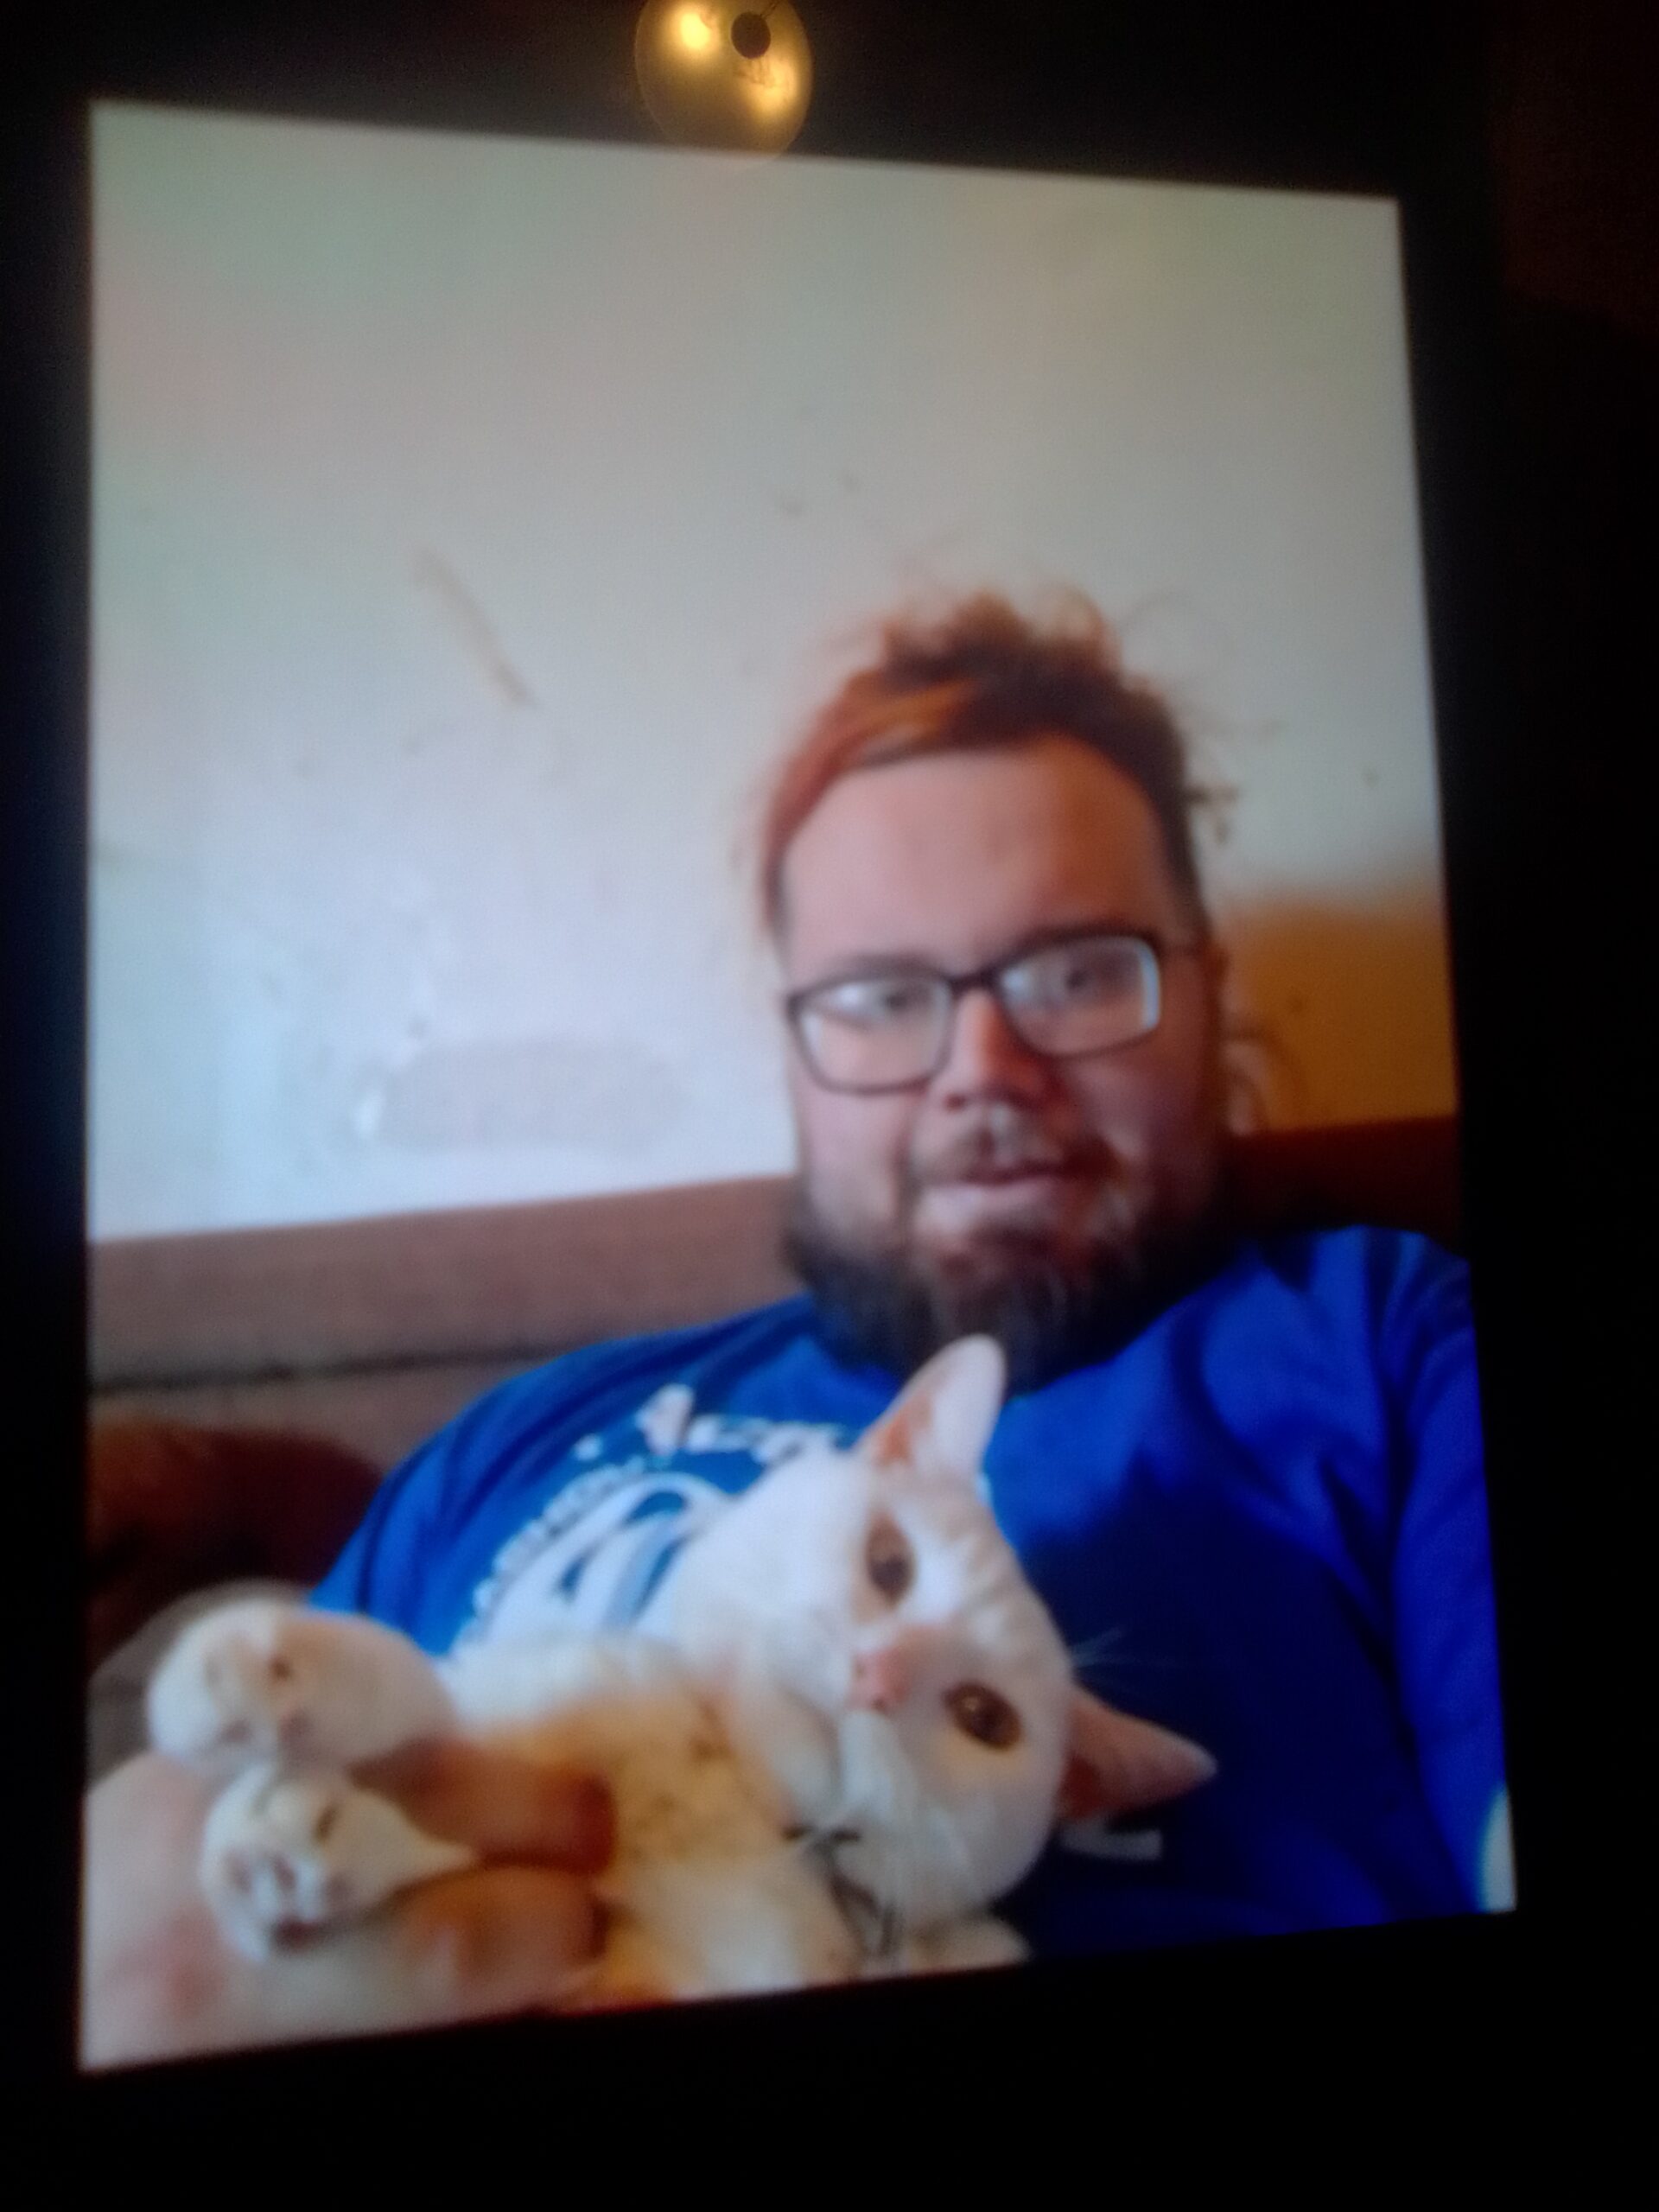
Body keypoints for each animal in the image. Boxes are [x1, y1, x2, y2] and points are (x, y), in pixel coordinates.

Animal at [146, 1336, 1217, 2004]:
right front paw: (266, 1678)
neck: (725, 1801)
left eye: (985, 1717)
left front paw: (308, 1840)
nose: (876, 1675)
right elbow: (435, 1687)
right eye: (889, 1565)